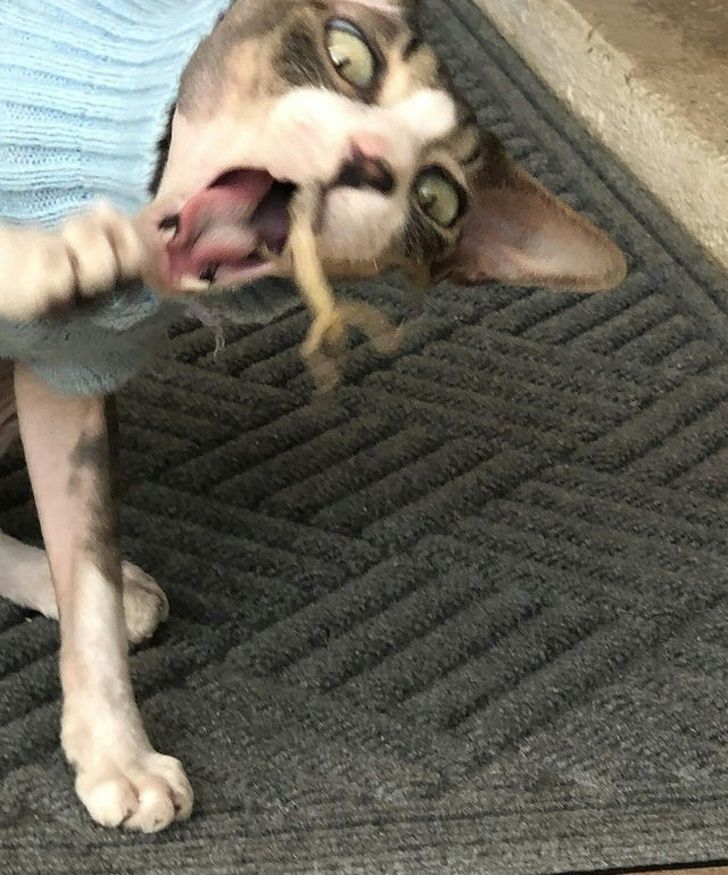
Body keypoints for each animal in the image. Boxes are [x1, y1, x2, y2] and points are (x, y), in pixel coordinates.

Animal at [0, 0, 624, 836]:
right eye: (347, 53)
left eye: (436, 197)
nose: (371, 162)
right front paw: (49, 255)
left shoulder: (74, 369)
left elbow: (90, 573)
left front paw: (117, 750)